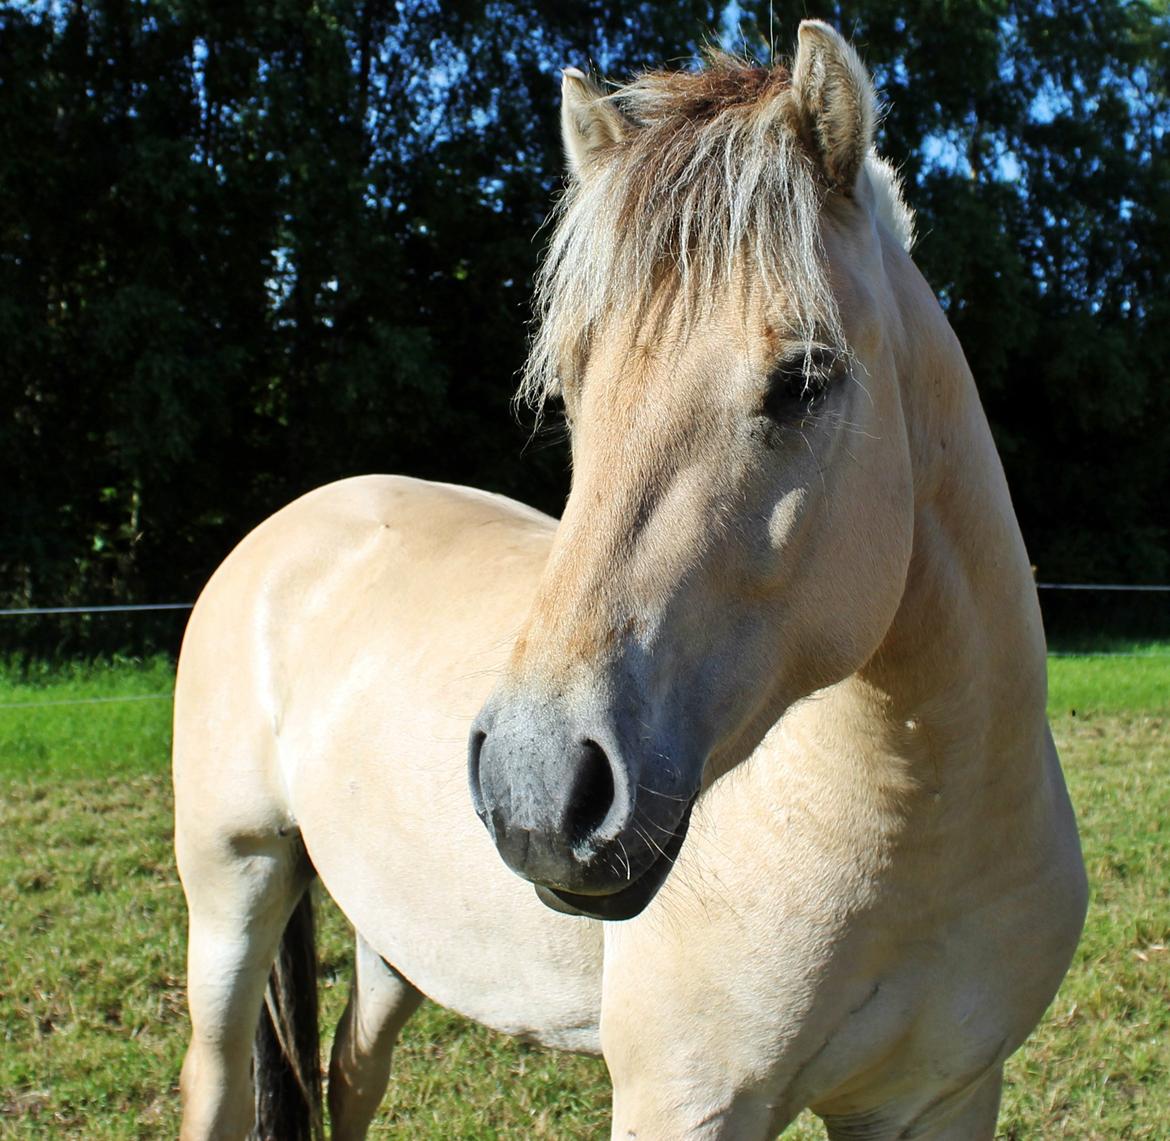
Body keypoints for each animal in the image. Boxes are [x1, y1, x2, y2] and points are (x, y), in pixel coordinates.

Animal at [173, 20, 1085, 1141]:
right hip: (235, 887)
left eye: (806, 380)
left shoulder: (942, 1098)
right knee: (218, 1082)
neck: (921, 820)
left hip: (393, 934)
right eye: (571, 389)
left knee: (350, 1074)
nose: (537, 789)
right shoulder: (685, 1100)